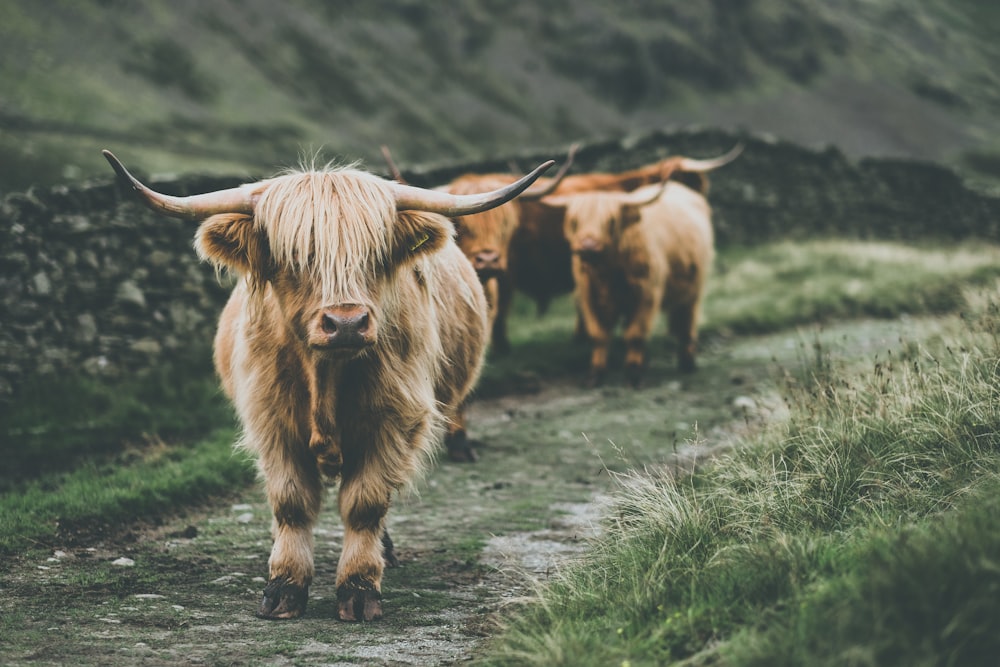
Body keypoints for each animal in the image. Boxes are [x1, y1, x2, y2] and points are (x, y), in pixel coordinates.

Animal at [105, 153, 552, 628]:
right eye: (296, 255)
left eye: (375, 254)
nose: (347, 323)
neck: (325, 377)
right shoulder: (271, 422)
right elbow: (291, 503)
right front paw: (283, 586)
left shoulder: (394, 422)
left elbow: (365, 503)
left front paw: (358, 589)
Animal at [544, 177, 716, 386]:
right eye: (575, 221)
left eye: (610, 221)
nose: (588, 246)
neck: (607, 272)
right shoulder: (590, 296)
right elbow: (599, 335)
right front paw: (596, 373)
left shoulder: (647, 294)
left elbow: (635, 334)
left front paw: (633, 373)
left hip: (693, 288)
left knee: (686, 322)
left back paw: (687, 361)